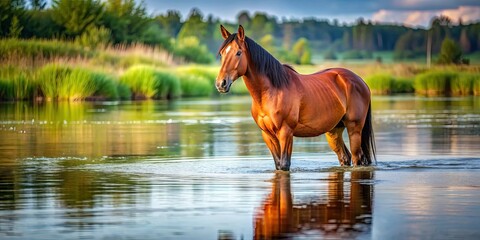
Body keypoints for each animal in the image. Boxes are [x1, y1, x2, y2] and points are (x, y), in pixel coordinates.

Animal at [216, 24, 376, 171]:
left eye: (238, 53)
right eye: (222, 53)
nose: (221, 83)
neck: (271, 91)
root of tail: (361, 81)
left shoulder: (286, 132)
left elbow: (284, 165)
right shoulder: (267, 135)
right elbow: (278, 165)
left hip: (354, 128)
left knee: (357, 158)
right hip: (334, 131)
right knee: (345, 157)